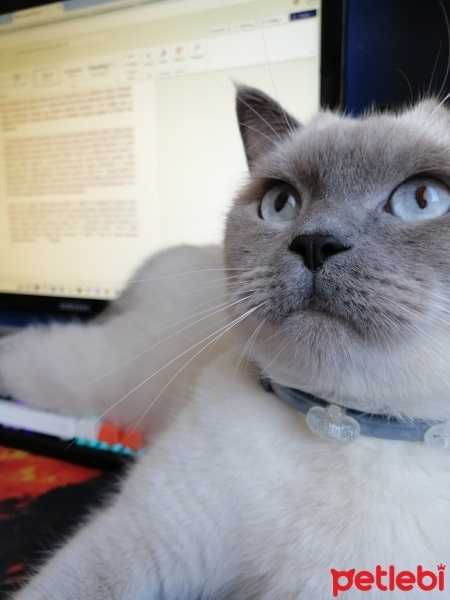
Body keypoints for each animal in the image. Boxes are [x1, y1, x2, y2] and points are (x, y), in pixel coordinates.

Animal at [4, 85, 450, 600]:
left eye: (422, 199)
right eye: (281, 203)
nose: (314, 243)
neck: (342, 423)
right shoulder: (142, 540)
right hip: (89, 375)